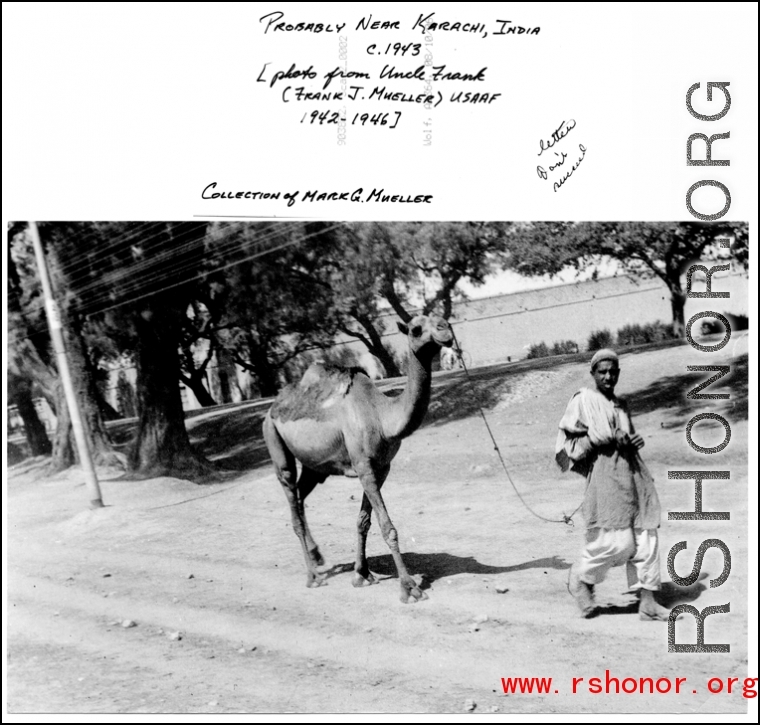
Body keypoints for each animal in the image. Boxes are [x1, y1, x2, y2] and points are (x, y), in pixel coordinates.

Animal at [262, 314, 452, 604]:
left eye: (440, 318)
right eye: (416, 329)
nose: (446, 329)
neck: (382, 416)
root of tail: (273, 407)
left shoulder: (381, 467)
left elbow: (363, 521)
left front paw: (361, 574)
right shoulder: (363, 466)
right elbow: (387, 526)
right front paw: (409, 588)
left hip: (315, 467)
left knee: (301, 497)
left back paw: (318, 557)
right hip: (274, 439)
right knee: (291, 496)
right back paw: (313, 576)